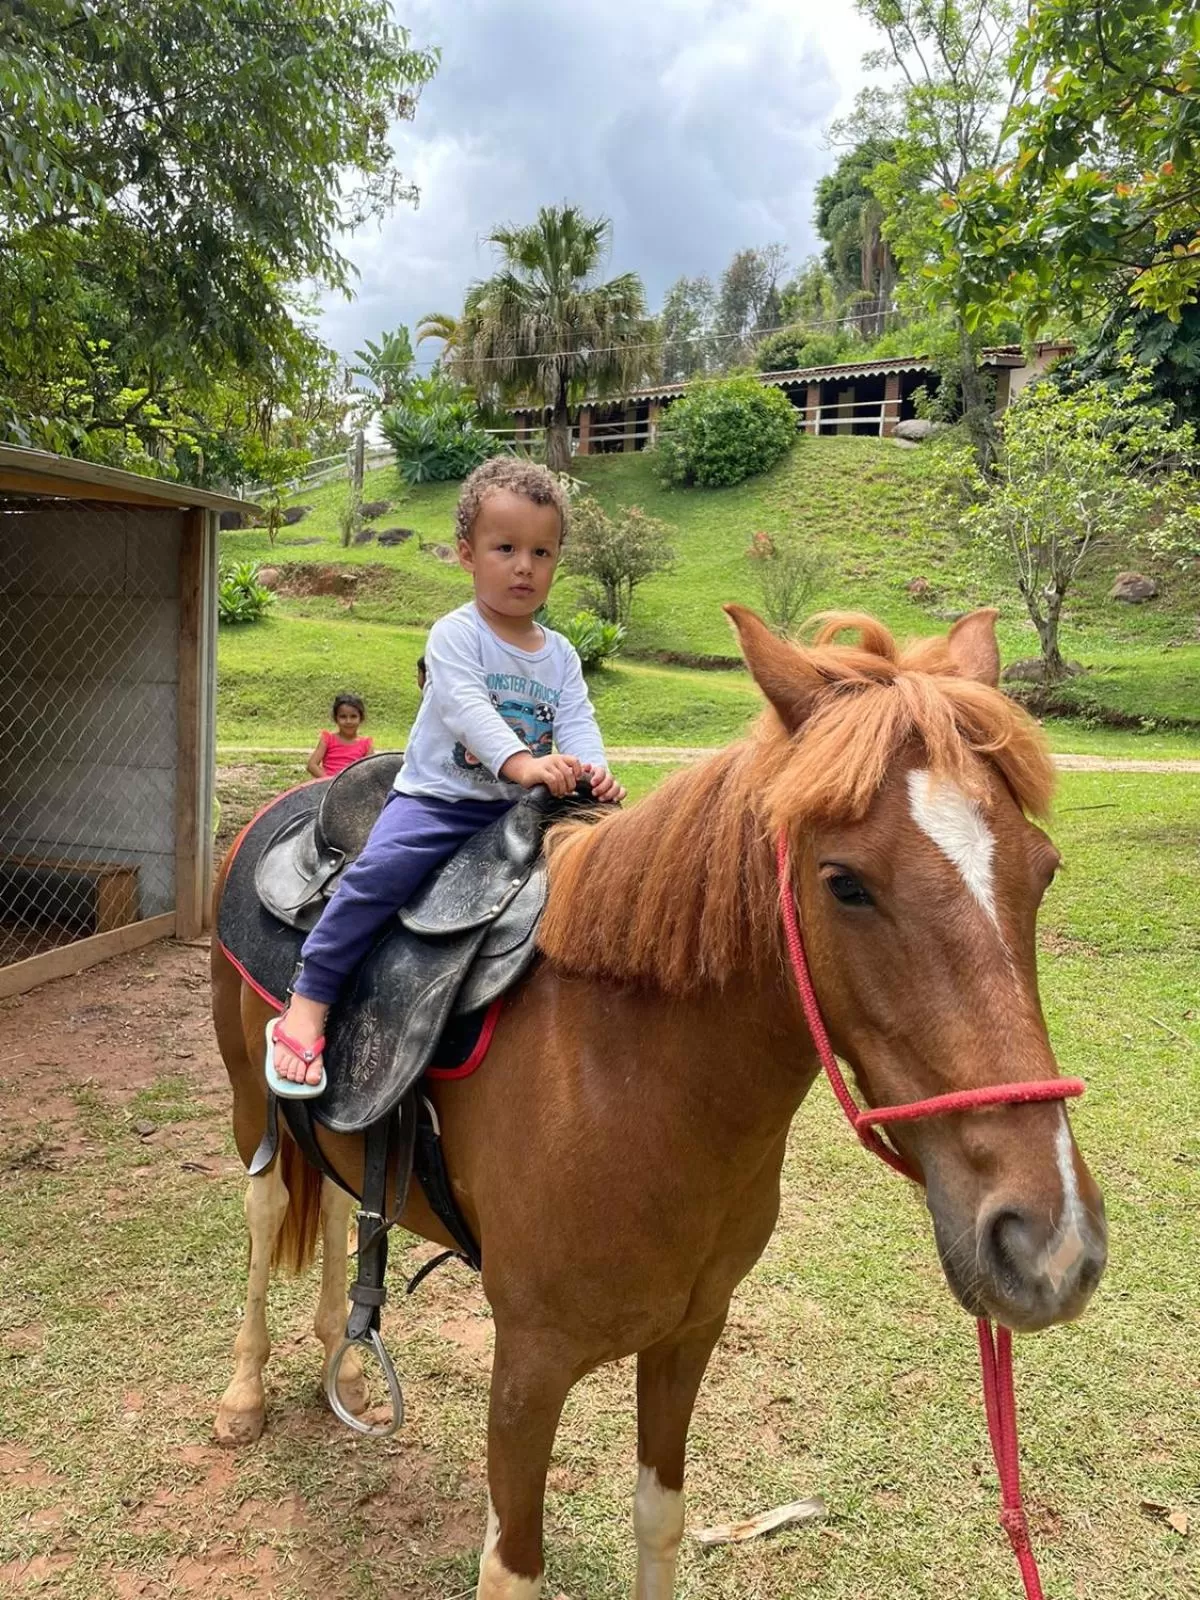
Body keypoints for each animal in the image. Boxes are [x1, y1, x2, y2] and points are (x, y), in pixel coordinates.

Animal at [210, 606, 1107, 1600]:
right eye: (845, 883)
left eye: (1045, 871)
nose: (1048, 1243)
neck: (630, 1080)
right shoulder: (527, 1365)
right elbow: (511, 1569)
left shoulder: (690, 1334)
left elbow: (660, 1519)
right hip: (250, 1100)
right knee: (266, 1208)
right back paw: (244, 1394)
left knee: (335, 1199)